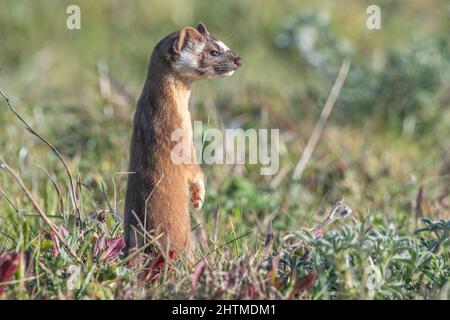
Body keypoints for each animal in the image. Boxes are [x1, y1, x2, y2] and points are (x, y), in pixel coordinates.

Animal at [123, 21, 243, 258]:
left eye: (224, 42)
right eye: (213, 51)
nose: (238, 59)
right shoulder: (180, 137)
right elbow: (194, 169)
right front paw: (199, 196)